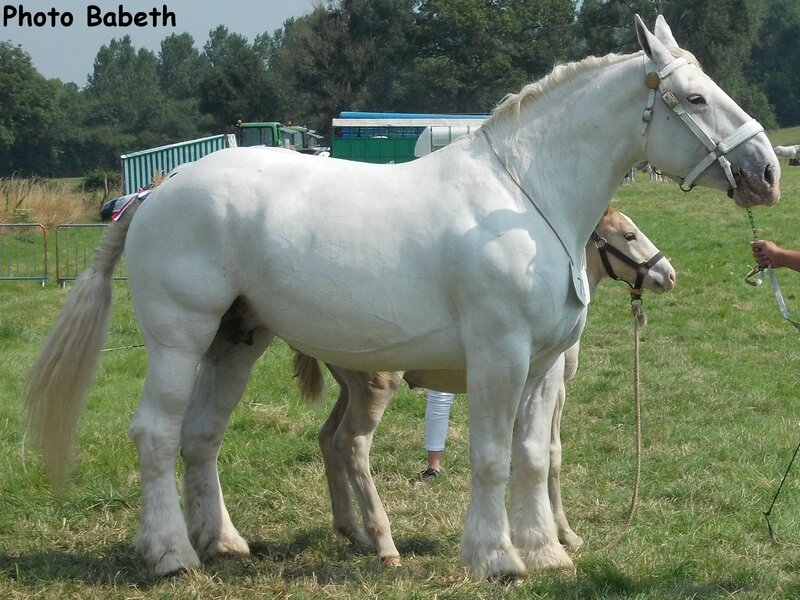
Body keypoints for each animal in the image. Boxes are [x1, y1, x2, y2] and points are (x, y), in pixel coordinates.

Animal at [296, 205, 680, 556]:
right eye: (628, 235)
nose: (669, 274)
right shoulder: (554, 386)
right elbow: (551, 455)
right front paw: (562, 536)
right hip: (376, 387)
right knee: (353, 445)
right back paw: (384, 544)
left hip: (350, 388)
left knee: (328, 437)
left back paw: (352, 531)